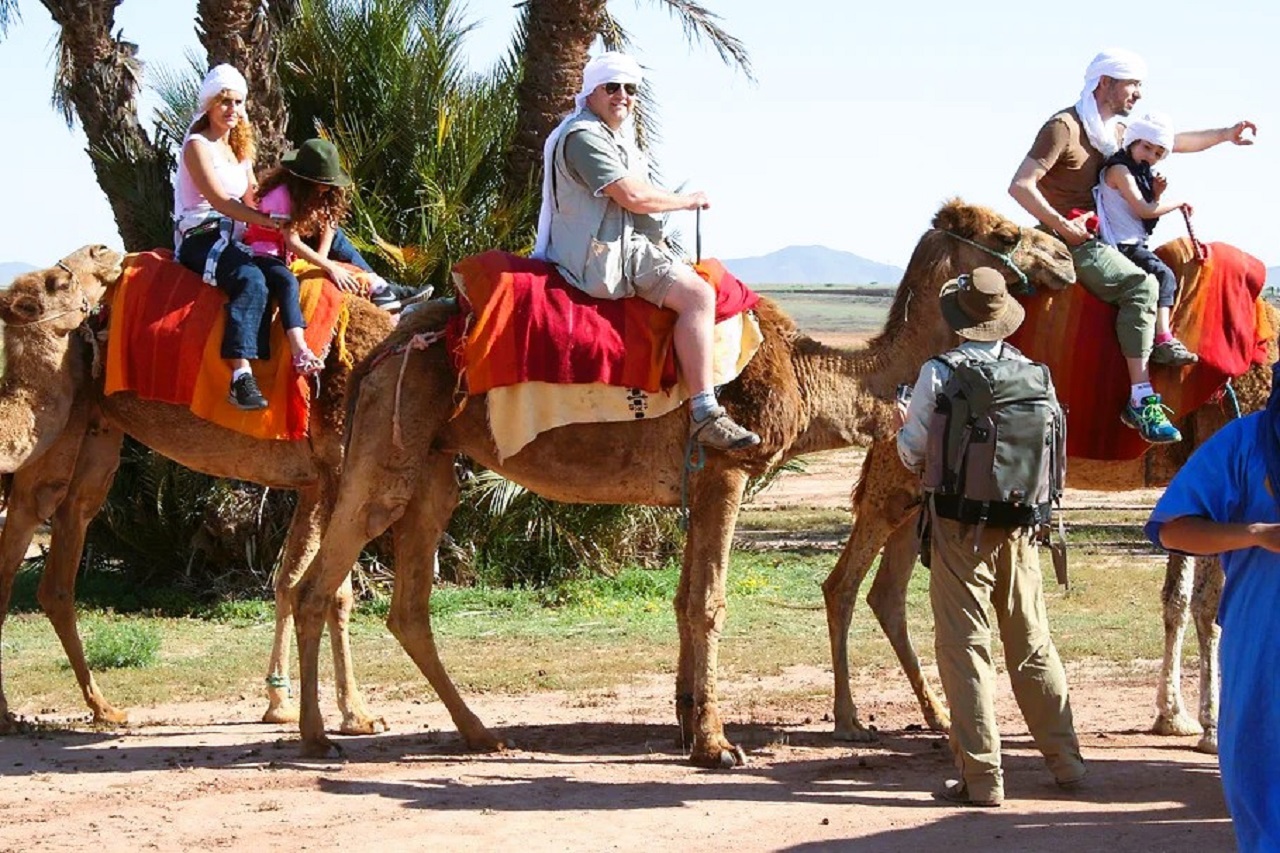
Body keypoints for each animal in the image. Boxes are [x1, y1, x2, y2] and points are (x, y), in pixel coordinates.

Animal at [0, 251, 394, 732]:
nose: (102, 254)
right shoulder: (338, 470)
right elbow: (332, 591)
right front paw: (356, 714)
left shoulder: (315, 482)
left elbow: (290, 582)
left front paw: (279, 704)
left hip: (92, 431)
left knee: (62, 552)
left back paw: (104, 708)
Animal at [282, 201, 1080, 763]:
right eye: (1003, 231)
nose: (1066, 254)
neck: (810, 375)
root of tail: (385, 346)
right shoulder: (726, 468)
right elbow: (710, 602)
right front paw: (718, 745)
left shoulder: (695, 486)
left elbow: (681, 599)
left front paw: (688, 720)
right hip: (392, 446)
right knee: (320, 584)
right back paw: (319, 735)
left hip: (433, 465)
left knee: (407, 604)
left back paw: (479, 733)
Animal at [819, 211, 1269, 753]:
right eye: (1005, 235)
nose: (1060, 257)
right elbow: (1210, 604)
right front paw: (1212, 728)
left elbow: (1177, 600)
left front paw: (1173, 717)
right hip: (895, 481)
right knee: (844, 584)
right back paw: (849, 718)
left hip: (916, 496)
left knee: (885, 593)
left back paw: (936, 714)